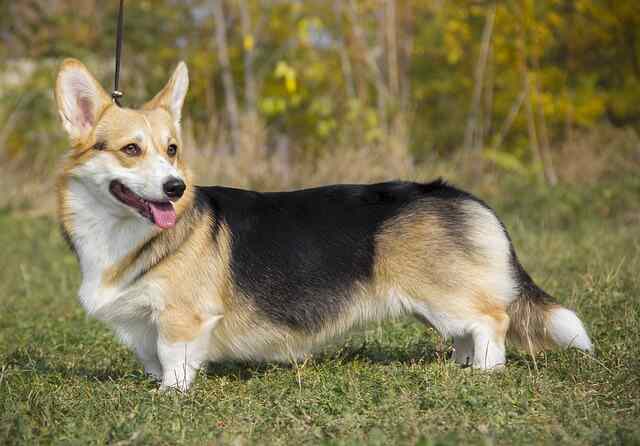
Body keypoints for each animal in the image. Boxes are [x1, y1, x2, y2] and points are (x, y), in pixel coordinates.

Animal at [52, 58, 592, 390]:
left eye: (172, 150)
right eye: (131, 149)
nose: (175, 188)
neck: (124, 233)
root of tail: (461, 195)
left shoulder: (182, 319)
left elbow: (173, 359)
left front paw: (171, 396)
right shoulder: (140, 325)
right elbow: (152, 358)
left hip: (445, 295)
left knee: (492, 321)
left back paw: (484, 371)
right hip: (433, 303)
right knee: (468, 330)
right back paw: (462, 366)